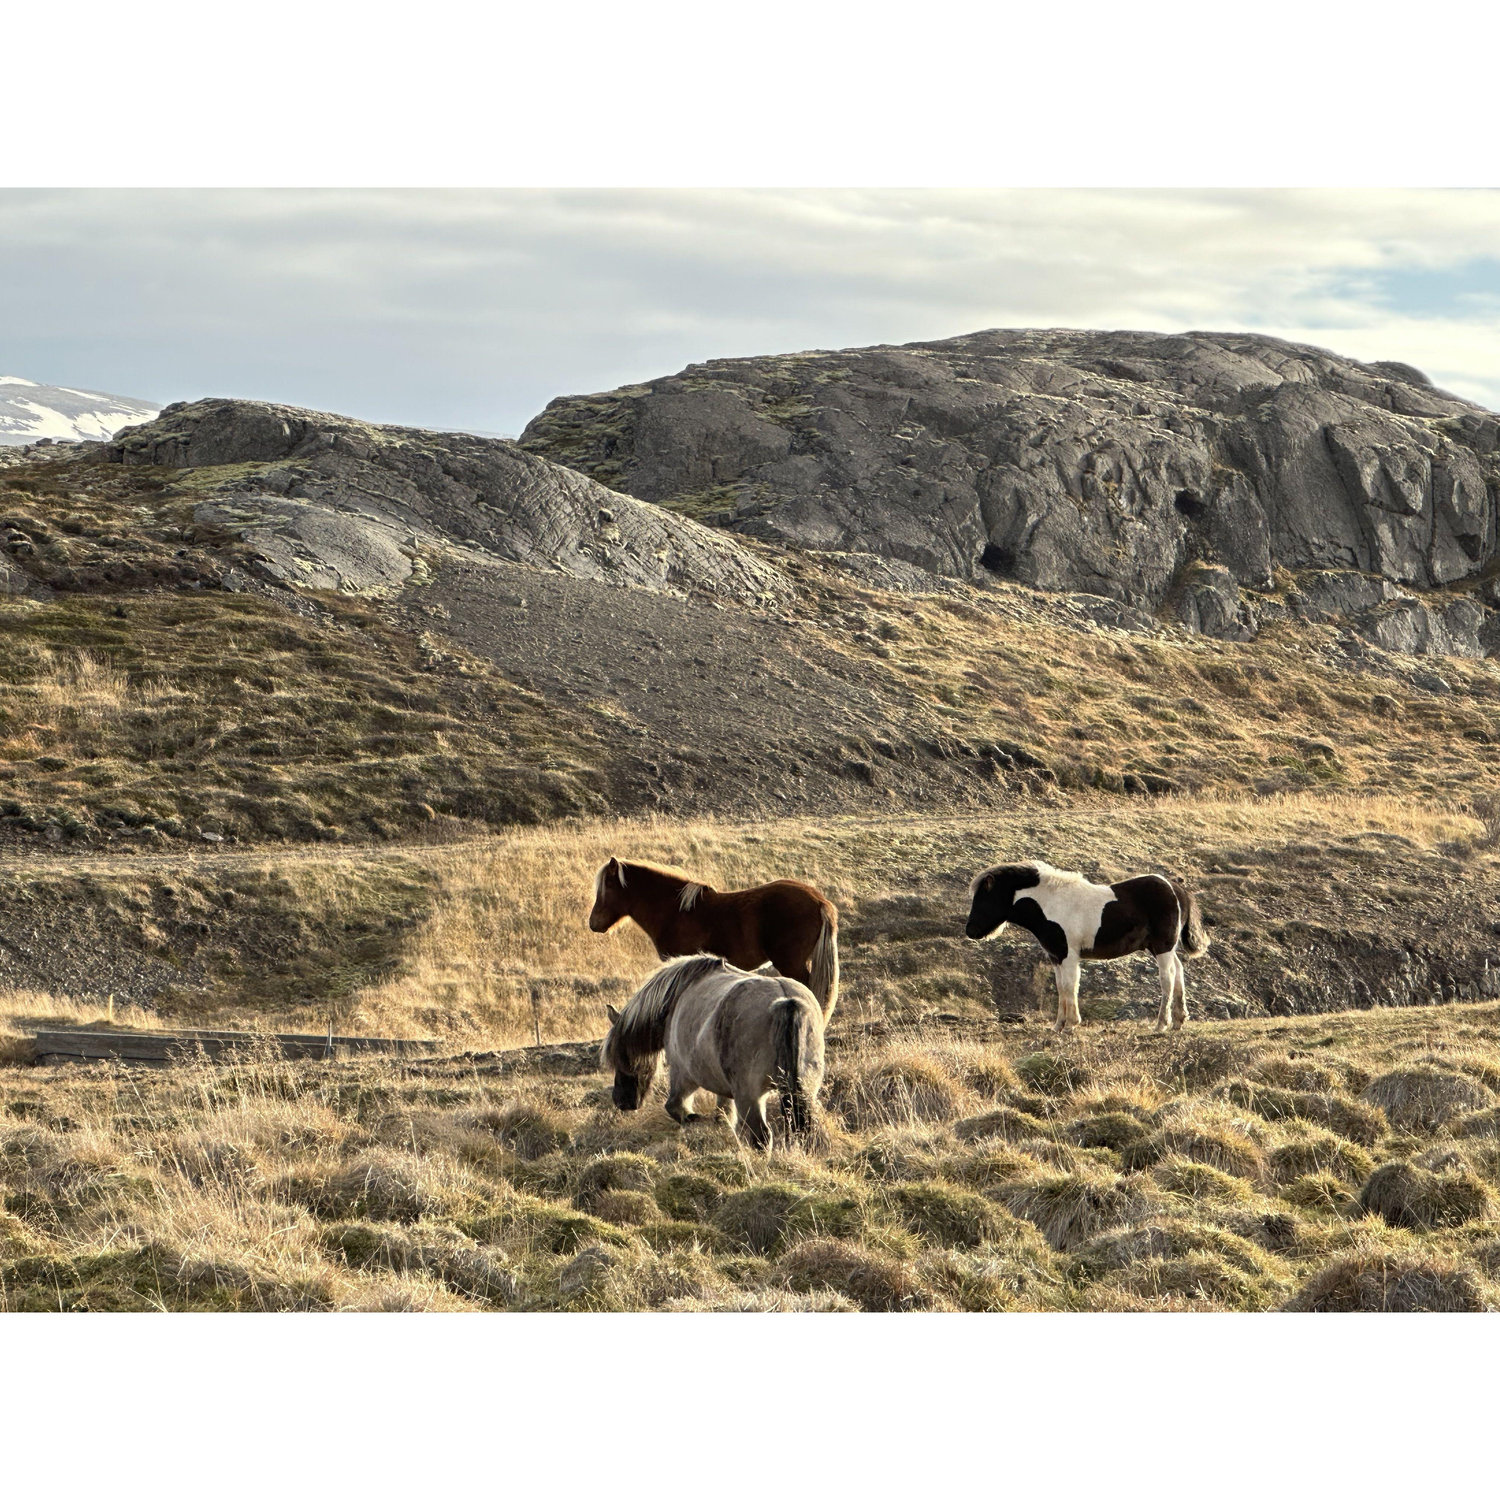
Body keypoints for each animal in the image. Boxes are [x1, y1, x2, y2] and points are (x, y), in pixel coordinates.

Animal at [601, 954, 826, 1150]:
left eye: (620, 1057)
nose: (621, 1101)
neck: (676, 996)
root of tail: (786, 1001)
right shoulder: (724, 1090)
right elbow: (723, 1114)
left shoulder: (683, 1075)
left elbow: (674, 1107)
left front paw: (694, 1119)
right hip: (802, 1090)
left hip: (749, 1095)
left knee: (761, 1136)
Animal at [964, 860, 1209, 1031]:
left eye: (984, 898)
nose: (970, 931)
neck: (1051, 904)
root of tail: (1176, 889)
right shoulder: (1056, 956)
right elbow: (1061, 987)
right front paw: (1058, 1026)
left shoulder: (1069, 955)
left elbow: (1070, 986)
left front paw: (1071, 1024)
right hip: (1162, 947)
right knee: (1179, 971)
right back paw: (1178, 1020)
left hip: (1162, 946)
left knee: (1167, 978)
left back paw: (1161, 1024)